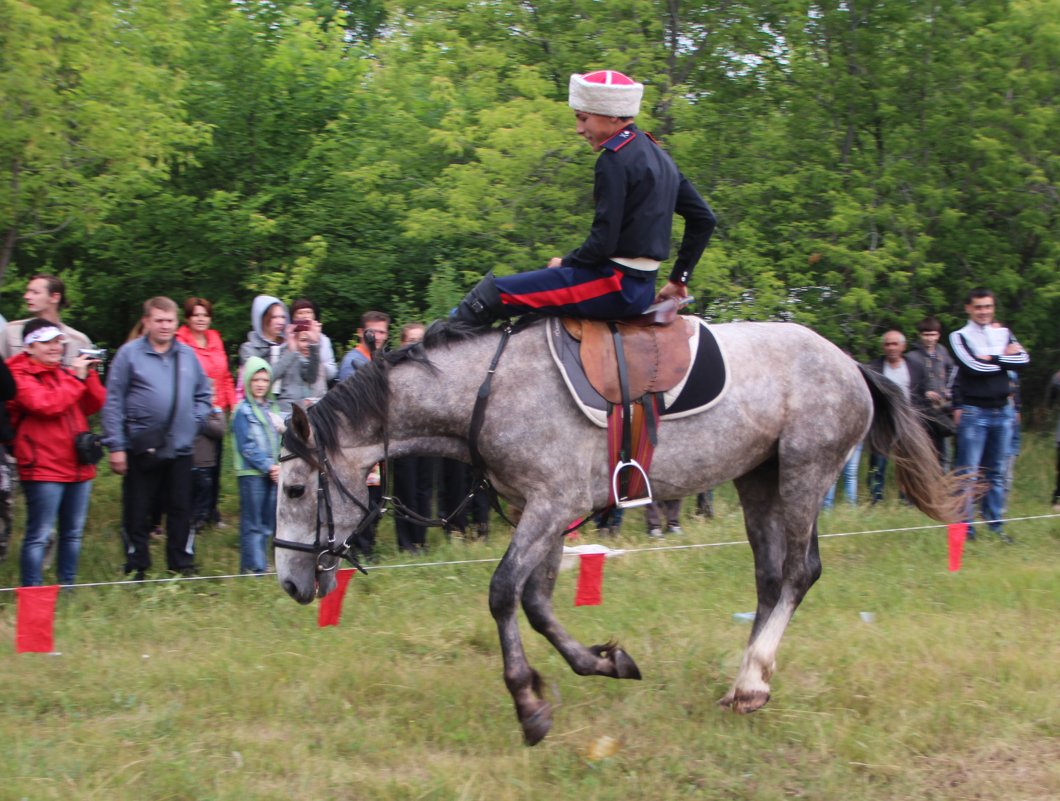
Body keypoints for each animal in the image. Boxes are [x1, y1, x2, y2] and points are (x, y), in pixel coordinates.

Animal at [271, 317, 953, 745]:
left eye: (295, 489)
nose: (290, 584)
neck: (486, 393)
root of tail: (850, 361)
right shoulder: (544, 511)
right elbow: (538, 603)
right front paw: (605, 662)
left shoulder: (550, 505)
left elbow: (503, 594)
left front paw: (529, 706)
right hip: (758, 480)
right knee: (769, 579)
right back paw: (743, 684)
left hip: (804, 473)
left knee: (798, 573)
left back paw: (753, 680)